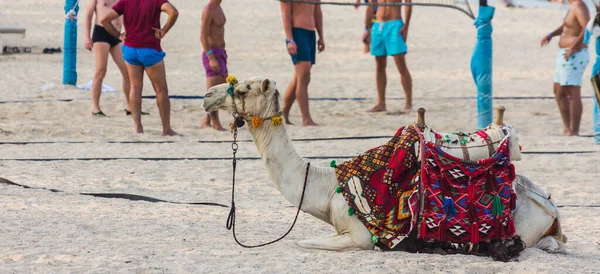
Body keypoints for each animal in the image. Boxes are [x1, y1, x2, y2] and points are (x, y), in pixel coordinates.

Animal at [203, 76, 568, 253]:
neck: (326, 188)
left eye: (243, 88)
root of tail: (550, 206)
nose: (207, 95)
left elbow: (300, 241)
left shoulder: (362, 237)